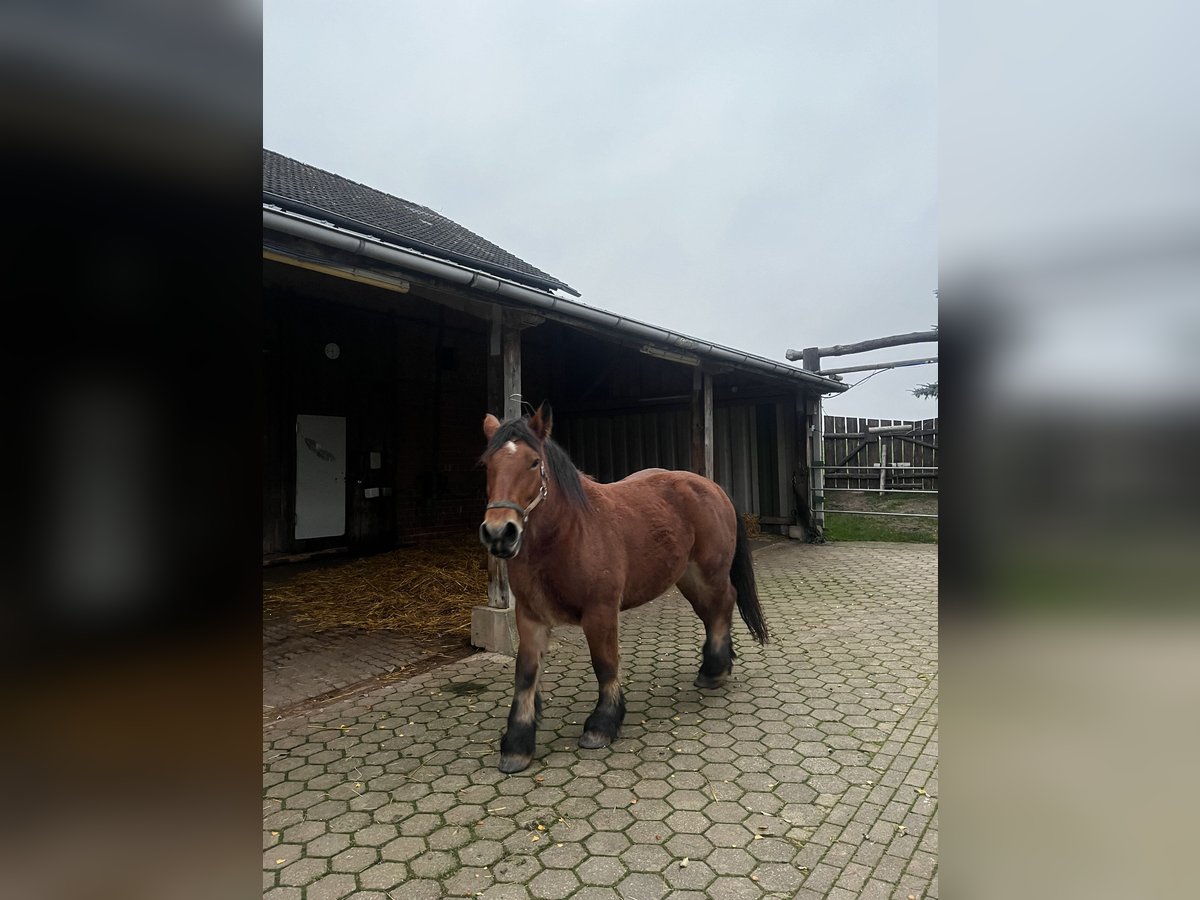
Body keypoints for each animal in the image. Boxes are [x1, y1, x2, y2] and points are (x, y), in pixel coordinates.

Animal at [477, 403, 768, 777]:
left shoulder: (600, 612)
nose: (500, 533)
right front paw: (517, 744)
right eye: (488, 464)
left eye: (532, 462)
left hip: (710, 572)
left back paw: (715, 671)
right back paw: (715, 665)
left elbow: (605, 664)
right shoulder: (530, 617)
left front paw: (602, 724)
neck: (568, 534)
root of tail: (711, 487)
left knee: (723, 605)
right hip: (687, 577)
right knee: (711, 612)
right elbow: (525, 675)